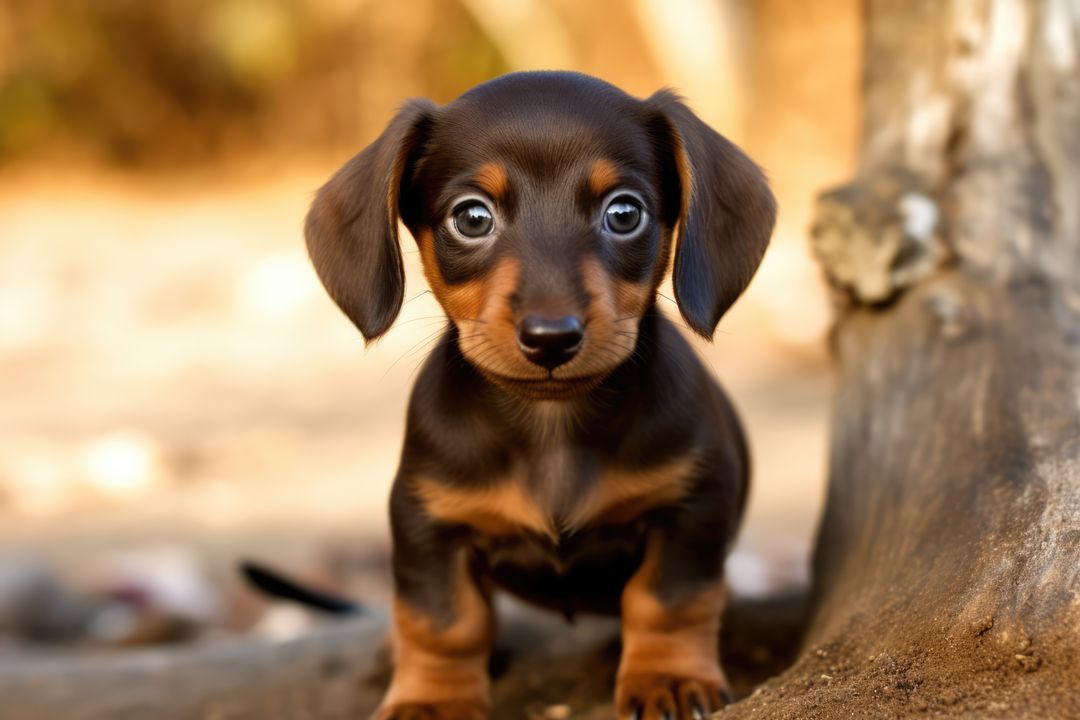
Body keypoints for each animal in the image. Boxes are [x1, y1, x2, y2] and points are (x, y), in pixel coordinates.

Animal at [304, 69, 777, 720]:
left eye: (624, 213)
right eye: (471, 218)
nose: (551, 338)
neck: (552, 425)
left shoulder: (693, 504)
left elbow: (668, 600)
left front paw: (668, 677)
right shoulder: (427, 521)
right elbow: (442, 623)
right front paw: (432, 701)